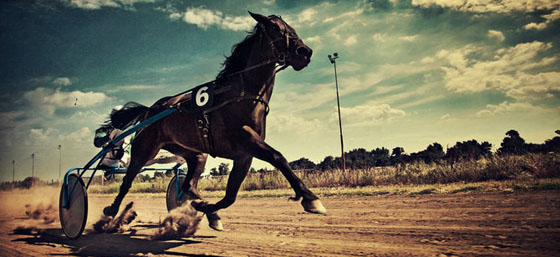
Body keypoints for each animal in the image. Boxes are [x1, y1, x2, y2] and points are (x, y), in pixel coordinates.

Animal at [103, 11, 326, 230]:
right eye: (275, 28)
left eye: (291, 27)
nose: (305, 52)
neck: (240, 95)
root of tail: (151, 110)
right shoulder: (245, 140)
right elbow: (278, 157)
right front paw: (311, 198)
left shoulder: (244, 155)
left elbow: (230, 196)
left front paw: (206, 208)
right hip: (144, 149)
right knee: (127, 181)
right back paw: (111, 211)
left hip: (194, 153)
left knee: (188, 185)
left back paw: (205, 210)